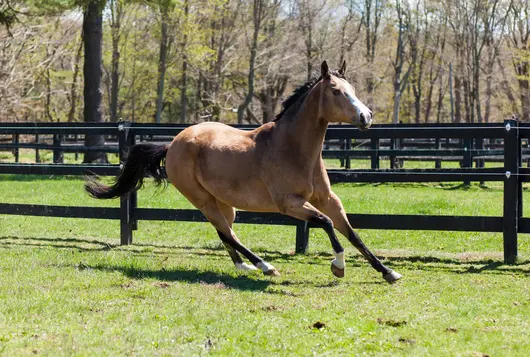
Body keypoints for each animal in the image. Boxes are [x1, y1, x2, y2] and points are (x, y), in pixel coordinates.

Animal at [85, 62, 400, 284]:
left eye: (353, 89)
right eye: (336, 91)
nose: (366, 117)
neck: (293, 149)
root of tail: (172, 144)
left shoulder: (328, 200)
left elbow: (352, 233)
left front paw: (388, 273)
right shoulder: (291, 204)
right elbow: (327, 224)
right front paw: (338, 267)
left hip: (225, 204)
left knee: (226, 233)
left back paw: (244, 265)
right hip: (202, 200)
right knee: (227, 233)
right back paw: (265, 266)